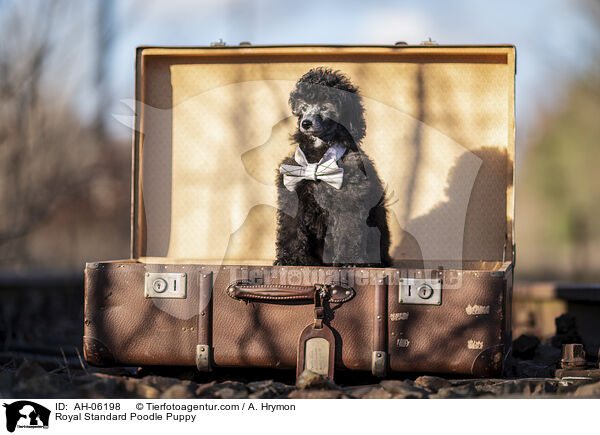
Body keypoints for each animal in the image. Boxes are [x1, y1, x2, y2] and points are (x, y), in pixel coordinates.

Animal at [274, 67, 392, 268]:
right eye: (304, 106)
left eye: (325, 106)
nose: (305, 123)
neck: (319, 156)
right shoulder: (293, 195)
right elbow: (291, 231)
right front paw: (289, 259)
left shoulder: (349, 201)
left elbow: (348, 231)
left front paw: (349, 261)